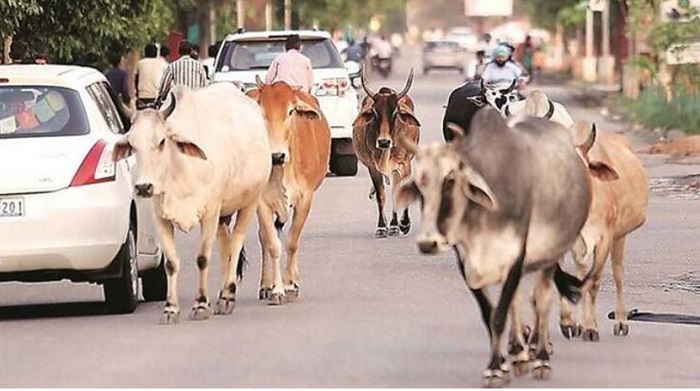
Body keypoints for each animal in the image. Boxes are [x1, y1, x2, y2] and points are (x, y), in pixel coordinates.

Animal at [112, 82, 270, 324]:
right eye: (132, 144)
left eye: (161, 141)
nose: (143, 187)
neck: (180, 168)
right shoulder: (160, 217)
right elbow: (171, 263)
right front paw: (170, 309)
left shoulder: (210, 213)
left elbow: (202, 258)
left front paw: (201, 305)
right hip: (224, 214)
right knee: (226, 246)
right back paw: (221, 295)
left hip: (250, 201)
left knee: (236, 243)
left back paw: (228, 296)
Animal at [247, 76, 332, 304]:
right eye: (261, 110)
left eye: (291, 111)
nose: (276, 155)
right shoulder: (262, 203)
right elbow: (272, 244)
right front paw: (276, 289)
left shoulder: (305, 199)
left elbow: (293, 242)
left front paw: (289, 285)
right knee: (264, 238)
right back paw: (265, 286)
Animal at [352, 68, 418, 239]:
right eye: (375, 113)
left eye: (395, 113)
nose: (383, 142)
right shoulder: (372, 167)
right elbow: (381, 196)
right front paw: (382, 227)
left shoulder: (404, 165)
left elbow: (397, 193)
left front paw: (401, 225)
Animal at [556, 121, 652, 342]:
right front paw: (570, 324)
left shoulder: (604, 239)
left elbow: (594, 282)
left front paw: (592, 329)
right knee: (582, 275)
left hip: (619, 236)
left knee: (618, 275)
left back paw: (621, 322)